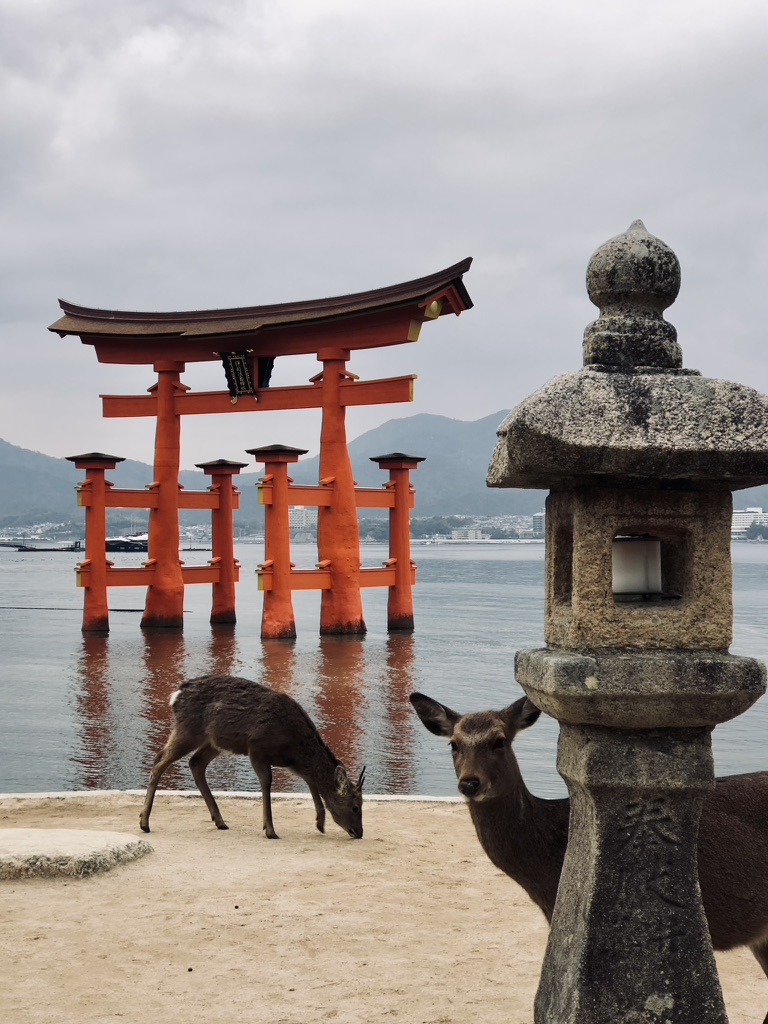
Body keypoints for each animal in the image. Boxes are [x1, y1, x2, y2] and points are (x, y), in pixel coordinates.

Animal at [140, 674, 365, 840]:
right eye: (355, 807)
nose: (359, 832)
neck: (295, 744)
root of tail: (175, 696)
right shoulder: (257, 748)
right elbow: (267, 782)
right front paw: (270, 830)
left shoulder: (291, 763)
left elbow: (311, 782)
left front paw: (320, 823)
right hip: (188, 730)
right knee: (159, 760)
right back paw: (144, 823)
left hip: (214, 742)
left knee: (195, 763)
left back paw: (220, 821)